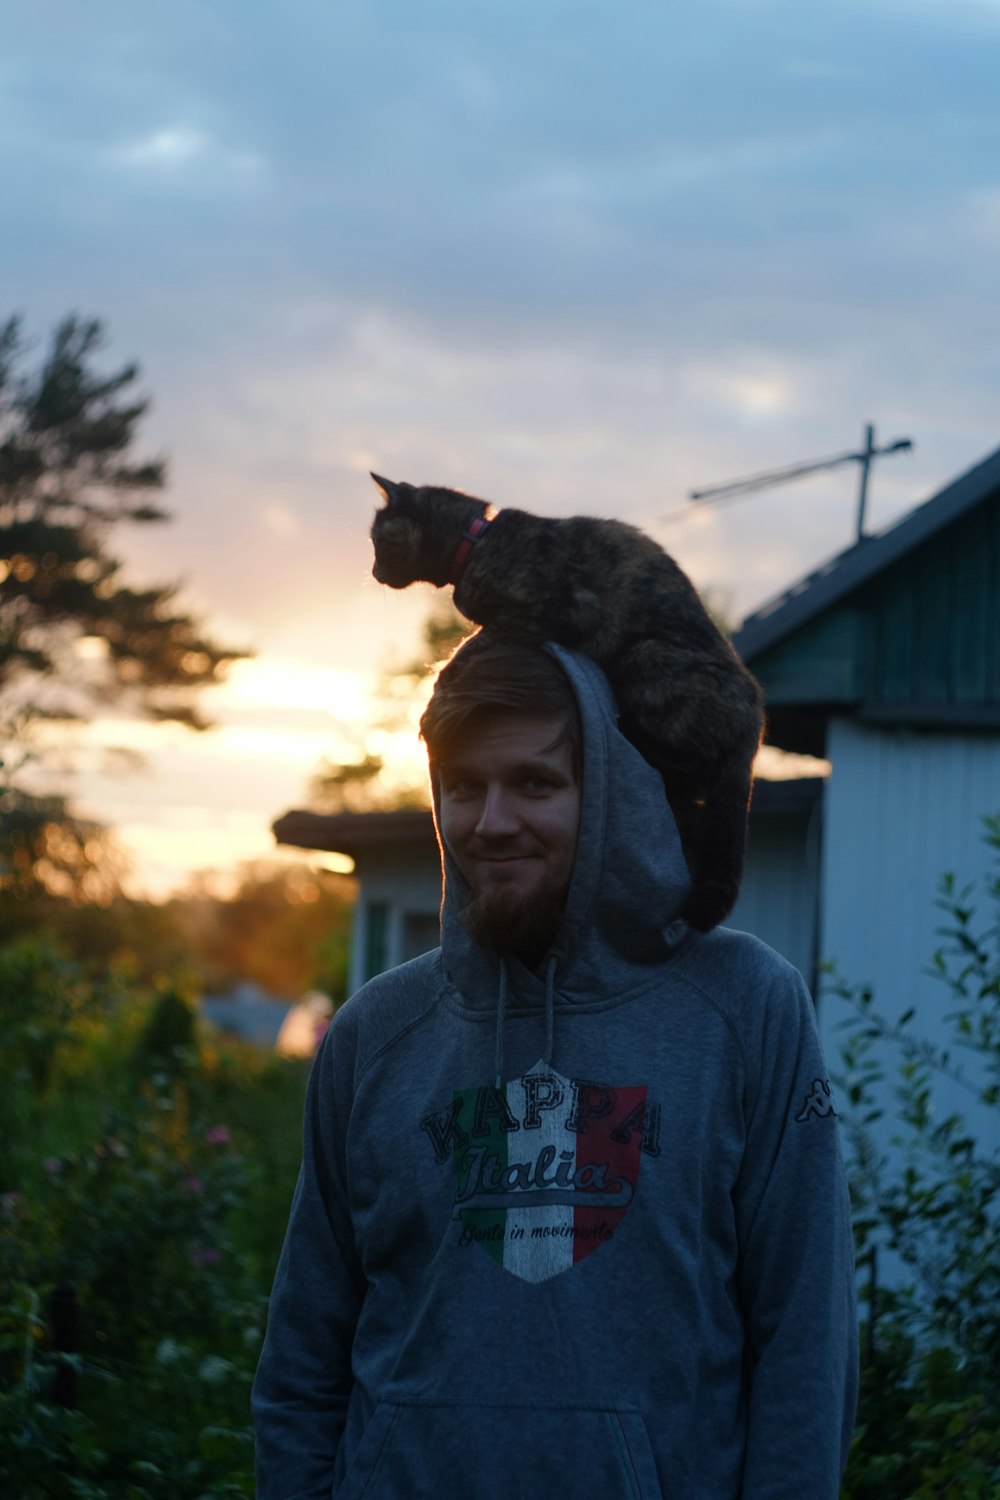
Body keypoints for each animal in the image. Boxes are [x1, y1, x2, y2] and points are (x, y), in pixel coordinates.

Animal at [371, 474, 761, 930]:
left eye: (380, 541)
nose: (375, 571)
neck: (477, 542)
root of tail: (753, 719)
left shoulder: (563, 613)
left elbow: (481, 636)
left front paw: (446, 675)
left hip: (645, 655)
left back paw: (631, 733)